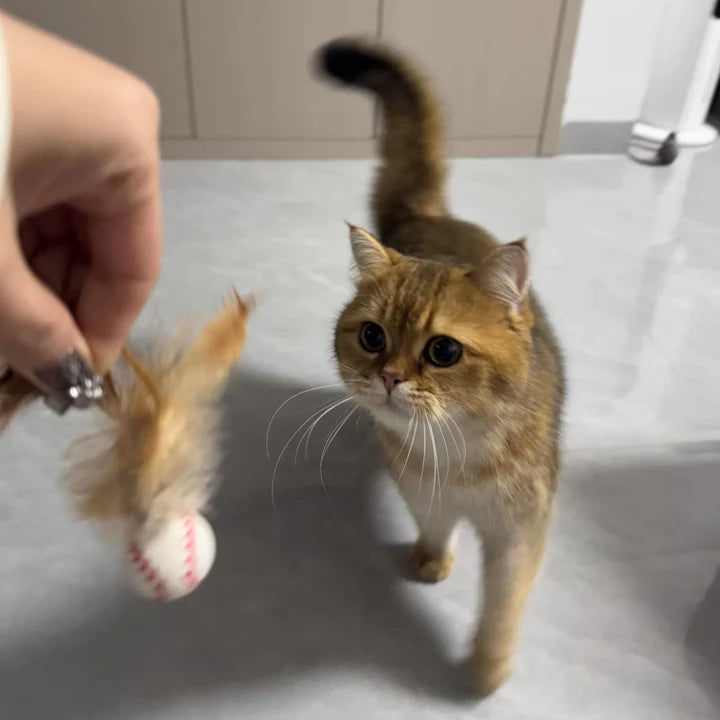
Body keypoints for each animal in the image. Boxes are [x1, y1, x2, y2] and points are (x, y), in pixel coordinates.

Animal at [317, 38, 565, 696]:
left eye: (444, 352)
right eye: (372, 336)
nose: (389, 377)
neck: (457, 457)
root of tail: (430, 216)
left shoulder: (521, 532)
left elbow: (505, 604)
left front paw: (487, 668)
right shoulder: (418, 489)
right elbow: (433, 526)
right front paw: (431, 561)